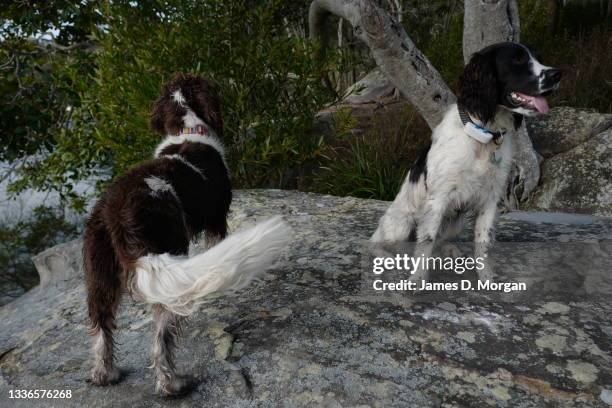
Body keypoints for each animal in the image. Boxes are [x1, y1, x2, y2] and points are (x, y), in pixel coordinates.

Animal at [84, 73, 292, 396]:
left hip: (100, 273)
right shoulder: (217, 221)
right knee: (162, 337)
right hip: (166, 255)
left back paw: (105, 373)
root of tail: (115, 212)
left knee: (101, 326)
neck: (188, 129)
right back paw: (173, 384)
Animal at [370, 43, 560, 282]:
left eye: (538, 58)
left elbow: (482, 241)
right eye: (517, 60)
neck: (483, 135)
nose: (556, 74)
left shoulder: (491, 197)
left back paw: (450, 250)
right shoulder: (438, 198)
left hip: (455, 223)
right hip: (401, 225)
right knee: (377, 242)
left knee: (441, 240)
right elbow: (426, 242)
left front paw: (486, 277)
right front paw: (417, 281)